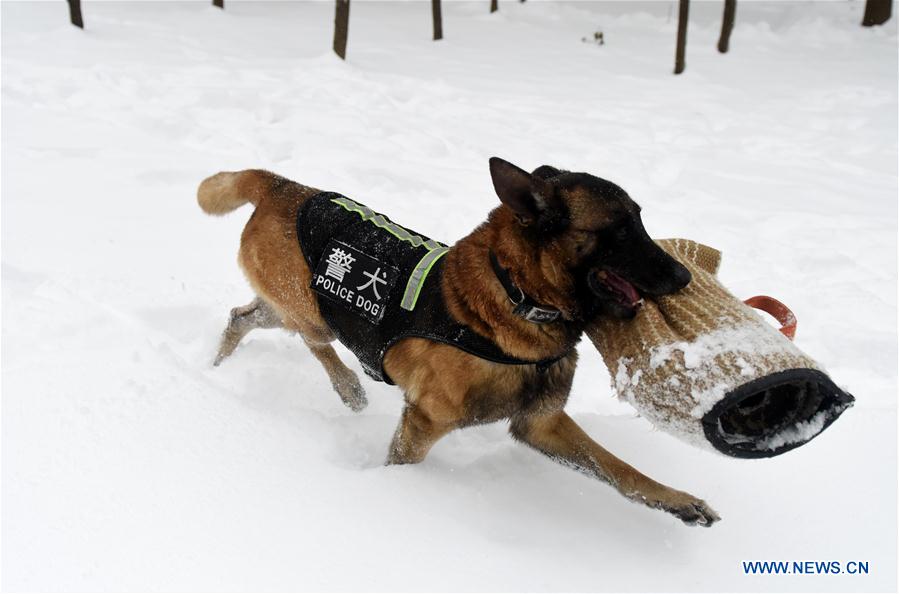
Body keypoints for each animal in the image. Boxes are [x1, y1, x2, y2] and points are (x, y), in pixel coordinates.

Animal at [200, 156, 720, 524]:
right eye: (620, 230)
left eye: (639, 221)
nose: (684, 276)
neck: (517, 294)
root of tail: (283, 186)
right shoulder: (424, 422)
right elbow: (399, 466)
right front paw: (388, 498)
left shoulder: (542, 425)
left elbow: (620, 470)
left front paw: (677, 500)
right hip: (315, 313)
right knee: (314, 343)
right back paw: (348, 387)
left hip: (286, 306)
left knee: (240, 318)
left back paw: (216, 366)